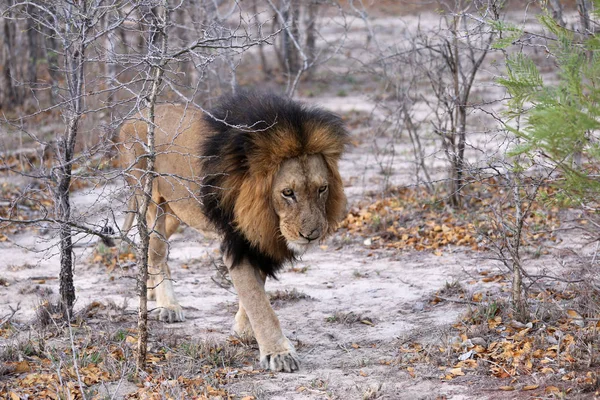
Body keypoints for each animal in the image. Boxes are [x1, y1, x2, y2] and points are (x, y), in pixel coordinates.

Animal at [116, 90, 346, 372]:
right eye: (288, 193)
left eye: (322, 189)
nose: (312, 234)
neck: (264, 213)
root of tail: (131, 118)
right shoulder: (237, 242)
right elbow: (258, 300)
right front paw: (278, 352)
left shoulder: (256, 240)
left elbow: (256, 291)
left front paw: (244, 330)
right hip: (149, 200)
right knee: (157, 253)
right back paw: (168, 305)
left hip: (176, 213)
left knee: (149, 250)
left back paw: (150, 290)